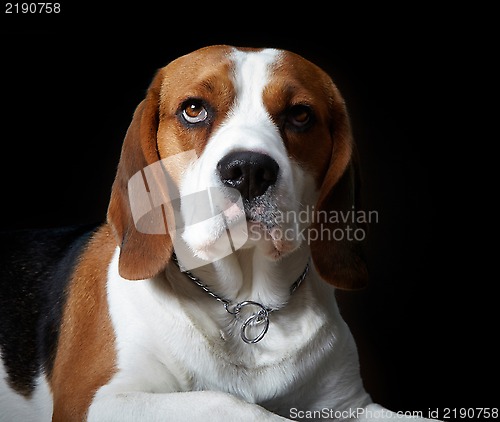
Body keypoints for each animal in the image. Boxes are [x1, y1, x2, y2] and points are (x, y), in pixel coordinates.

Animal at [0, 46, 438, 422]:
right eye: (194, 109)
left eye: (300, 115)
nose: (249, 170)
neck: (246, 304)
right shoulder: (95, 401)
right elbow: (230, 403)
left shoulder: (351, 404)